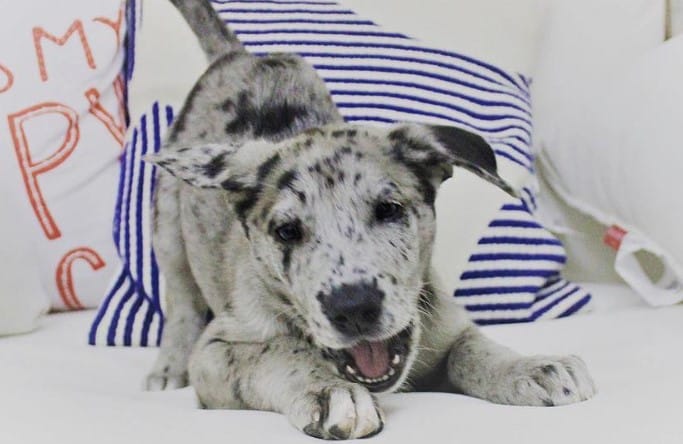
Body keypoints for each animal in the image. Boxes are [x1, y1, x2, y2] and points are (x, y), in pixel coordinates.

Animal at [145, 0, 597, 439]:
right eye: (287, 231)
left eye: (389, 209)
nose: (354, 308)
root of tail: (238, 55)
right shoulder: (217, 353)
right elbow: (279, 353)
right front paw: (328, 390)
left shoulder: (448, 328)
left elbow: (474, 349)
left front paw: (532, 367)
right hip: (166, 227)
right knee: (181, 301)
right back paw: (167, 369)